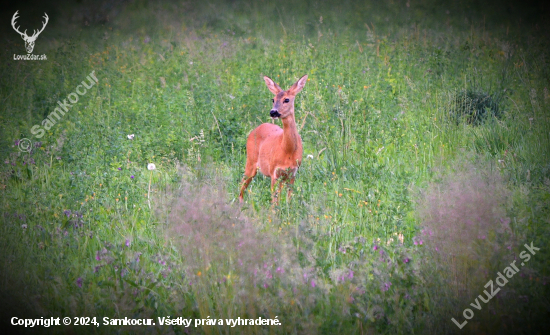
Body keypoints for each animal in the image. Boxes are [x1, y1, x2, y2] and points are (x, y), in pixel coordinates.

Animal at [240, 74, 310, 203]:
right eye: (273, 99)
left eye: (286, 99)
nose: (273, 112)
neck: (288, 151)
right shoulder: (274, 172)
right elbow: (274, 201)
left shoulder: (292, 173)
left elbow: (288, 199)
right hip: (251, 160)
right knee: (242, 184)